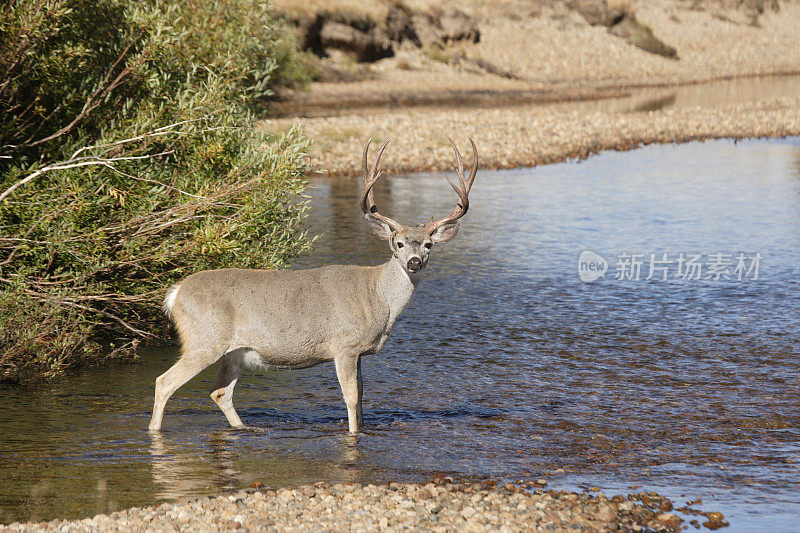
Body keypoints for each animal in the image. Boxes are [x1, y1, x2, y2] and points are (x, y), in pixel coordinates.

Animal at [148, 137, 478, 432]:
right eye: (397, 244)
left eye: (428, 245)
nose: (414, 262)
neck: (377, 297)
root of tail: (175, 294)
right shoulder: (344, 345)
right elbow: (351, 398)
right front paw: (353, 434)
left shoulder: (359, 353)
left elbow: (362, 398)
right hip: (204, 339)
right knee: (164, 382)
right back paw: (155, 430)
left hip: (234, 351)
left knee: (220, 392)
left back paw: (245, 428)